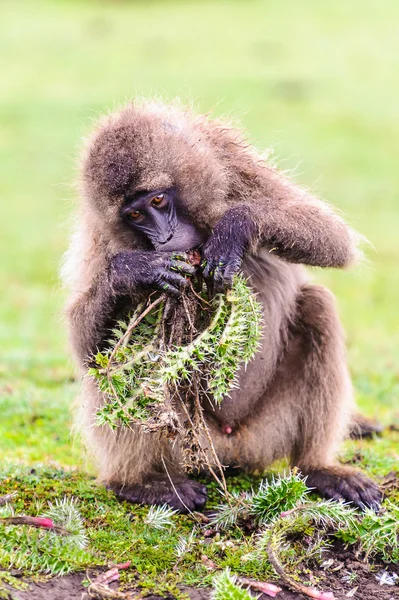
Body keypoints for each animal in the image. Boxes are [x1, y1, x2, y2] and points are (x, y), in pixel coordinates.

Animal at [64, 98, 382, 510]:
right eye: (134, 215)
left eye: (157, 200)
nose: (165, 239)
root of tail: (229, 447)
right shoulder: (100, 233)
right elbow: (87, 348)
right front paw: (135, 271)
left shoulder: (232, 162)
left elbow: (333, 239)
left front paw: (235, 228)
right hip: (187, 439)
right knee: (116, 359)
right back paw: (139, 483)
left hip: (268, 429)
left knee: (317, 305)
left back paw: (317, 468)